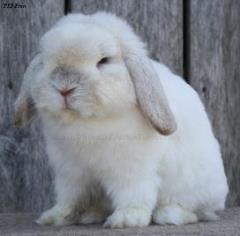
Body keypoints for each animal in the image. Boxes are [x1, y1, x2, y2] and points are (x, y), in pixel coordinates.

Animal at [15, 12, 229, 228]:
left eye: (104, 60)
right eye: (45, 61)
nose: (64, 88)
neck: (87, 122)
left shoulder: (133, 170)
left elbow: (134, 194)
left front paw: (127, 219)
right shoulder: (70, 172)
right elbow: (69, 198)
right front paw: (55, 217)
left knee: (196, 211)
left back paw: (169, 214)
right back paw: (91, 214)